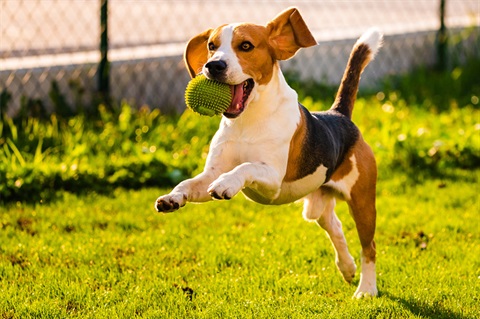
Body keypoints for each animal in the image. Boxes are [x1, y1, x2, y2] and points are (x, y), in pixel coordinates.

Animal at [157, 6, 382, 298]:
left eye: (246, 46)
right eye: (211, 46)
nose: (213, 66)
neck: (247, 120)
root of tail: (339, 115)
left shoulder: (272, 180)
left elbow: (245, 167)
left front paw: (228, 184)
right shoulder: (210, 174)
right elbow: (188, 183)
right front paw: (172, 198)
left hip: (363, 203)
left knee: (369, 248)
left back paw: (366, 288)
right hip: (317, 204)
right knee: (335, 226)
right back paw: (347, 267)